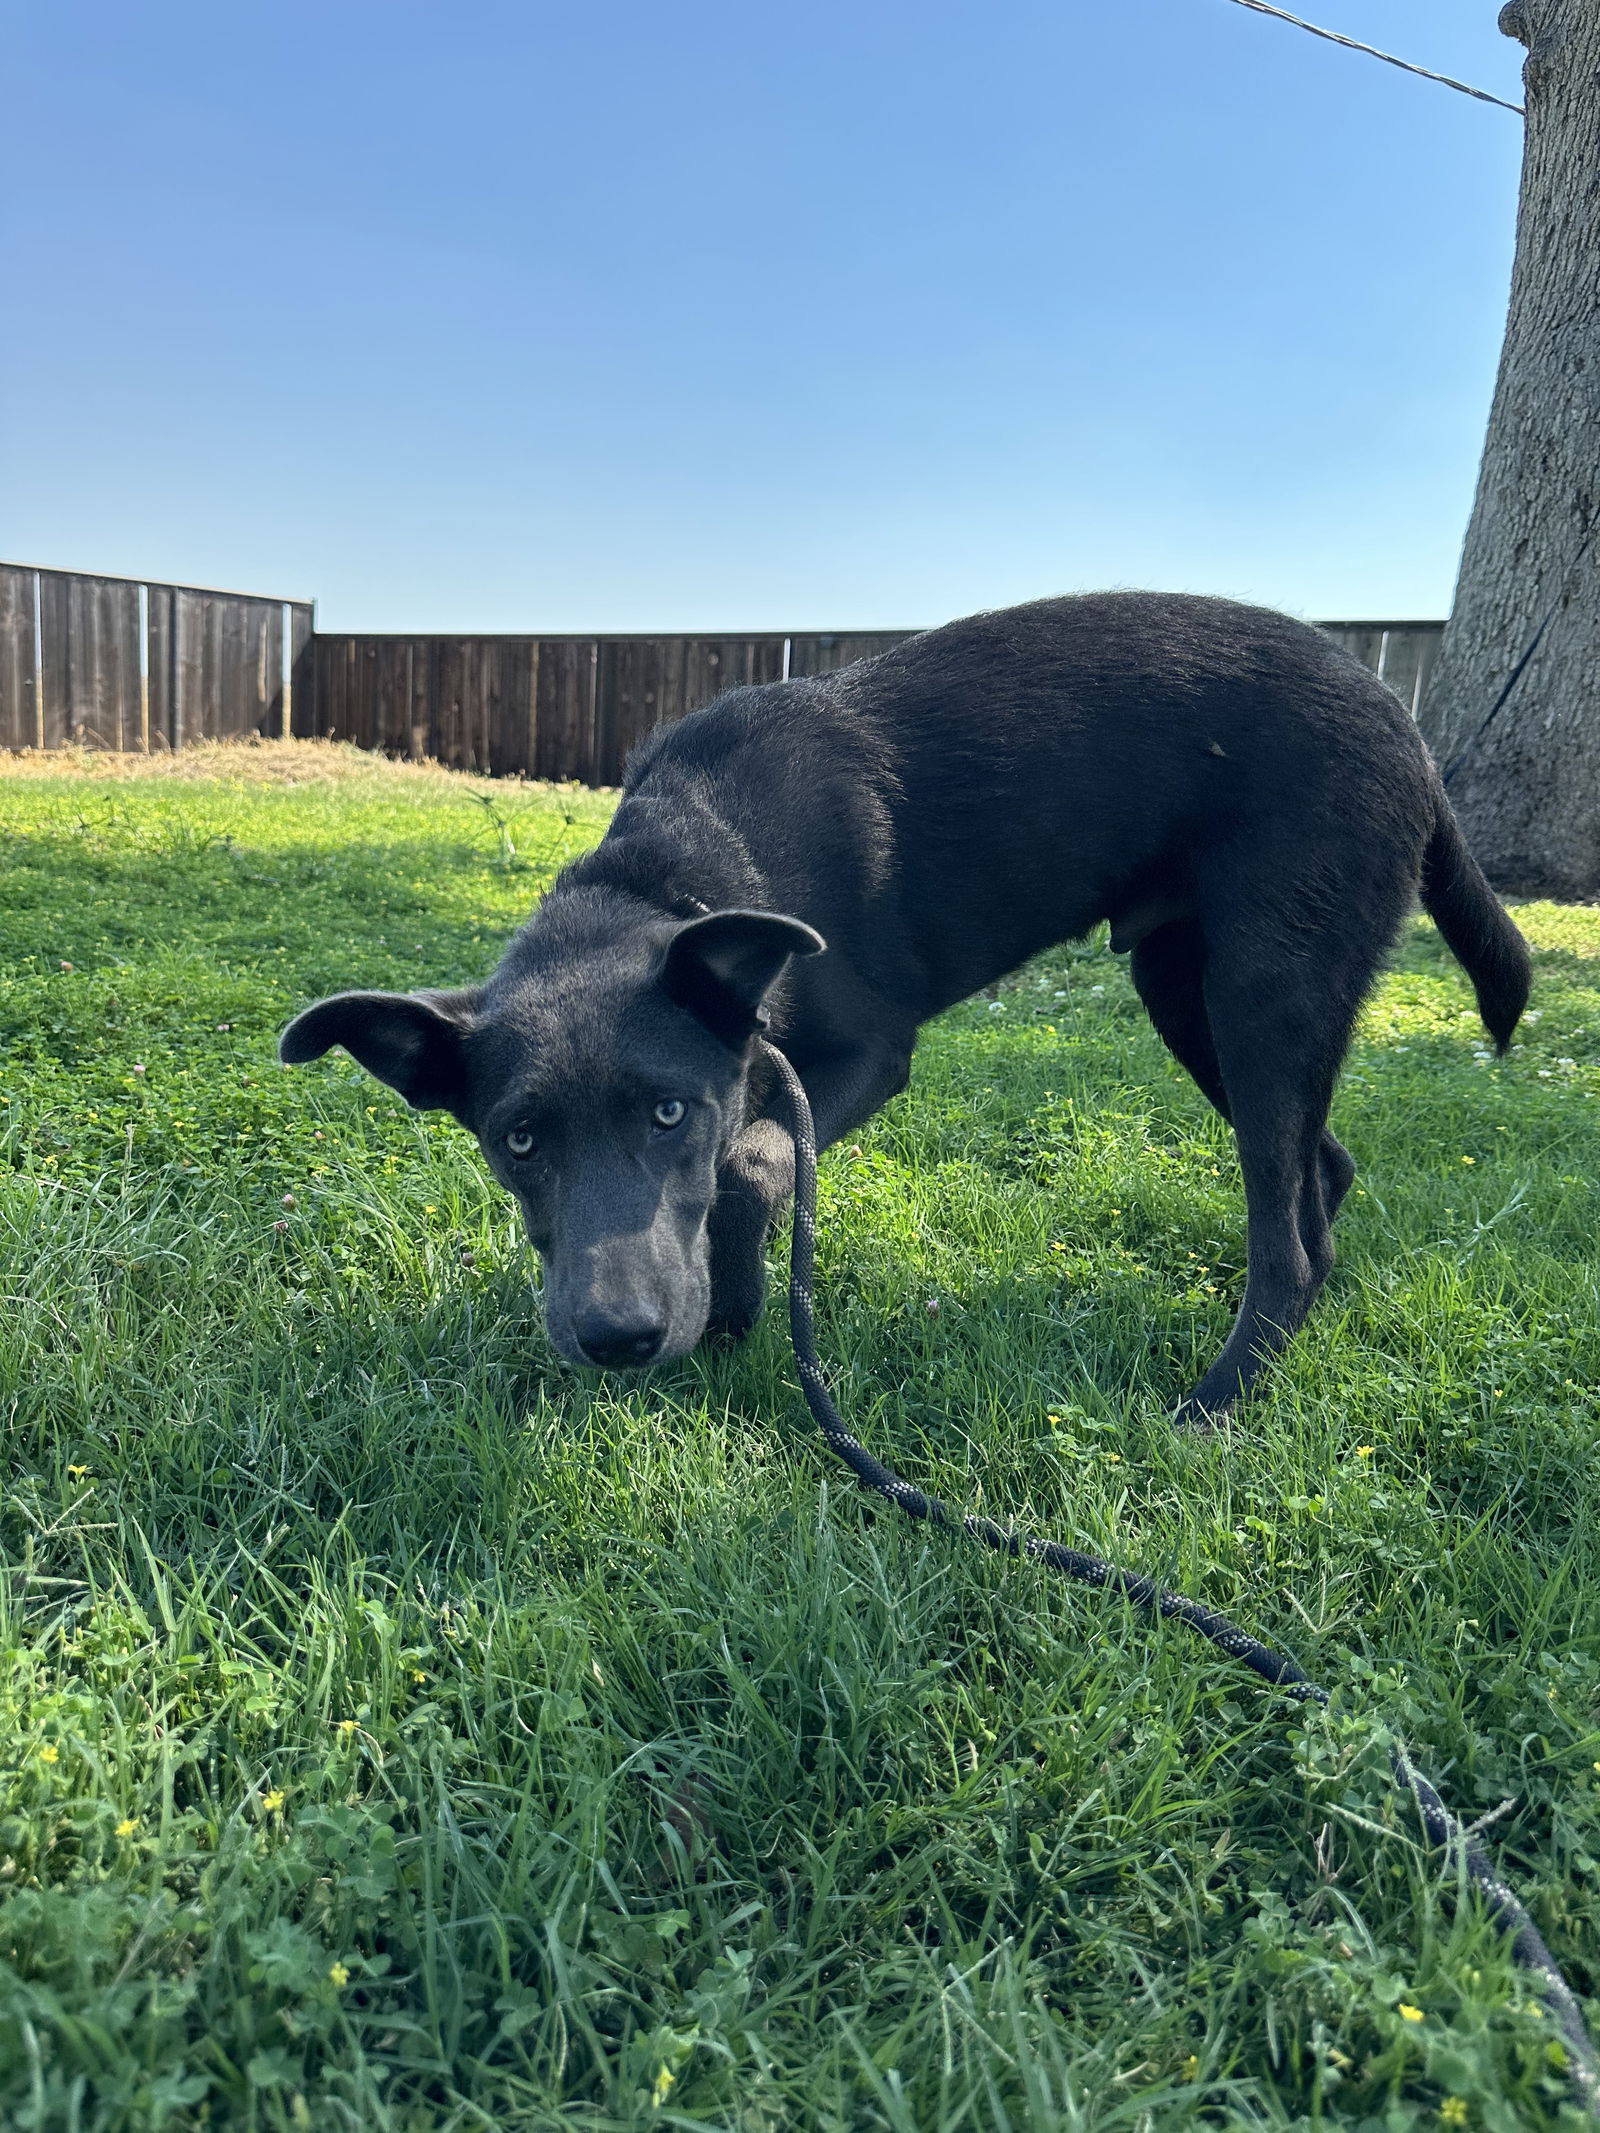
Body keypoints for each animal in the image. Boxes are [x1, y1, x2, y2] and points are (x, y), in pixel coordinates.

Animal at [281, 592, 1536, 1416]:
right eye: (518, 1141)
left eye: (670, 1114)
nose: (615, 1339)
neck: (683, 870)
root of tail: (1409, 731)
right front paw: (729, 1312)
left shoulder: (865, 1058)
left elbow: (750, 1163)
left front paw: (732, 1302)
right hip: (1189, 991)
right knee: (1320, 1171)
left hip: (1263, 985)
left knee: (1283, 1231)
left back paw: (1222, 1395)